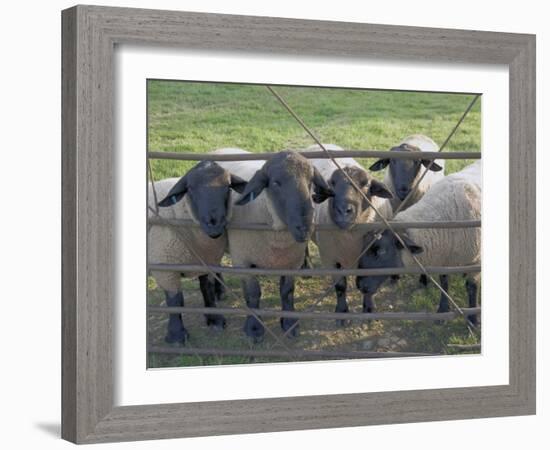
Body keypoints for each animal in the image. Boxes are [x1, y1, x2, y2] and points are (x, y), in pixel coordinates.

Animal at [149, 158, 248, 344]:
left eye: (228, 187)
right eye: (190, 189)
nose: (214, 224)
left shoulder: (206, 261)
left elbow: (206, 289)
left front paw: (215, 319)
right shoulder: (165, 268)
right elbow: (175, 301)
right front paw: (177, 335)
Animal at [218, 149, 334, 340]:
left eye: (311, 181)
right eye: (275, 183)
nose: (304, 227)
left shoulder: (291, 262)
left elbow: (287, 291)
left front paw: (289, 324)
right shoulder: (243, 261)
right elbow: (253, 294)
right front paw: (254, 329)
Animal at [304, 142, 394, 322]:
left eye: (366, 185)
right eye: (331, 184)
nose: (344, 211)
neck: (350, 238)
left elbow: (369, 285)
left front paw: (369, 308)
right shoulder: (331, 259)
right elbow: (340, 287)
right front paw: (342, 313)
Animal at [358, 161, 484, 324]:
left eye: (381, 251)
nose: (360, 285)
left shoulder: (475, 261)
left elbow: (472, 287)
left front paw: (473, 318)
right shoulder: (444, 260)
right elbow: (444, 282)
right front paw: (443, 310)